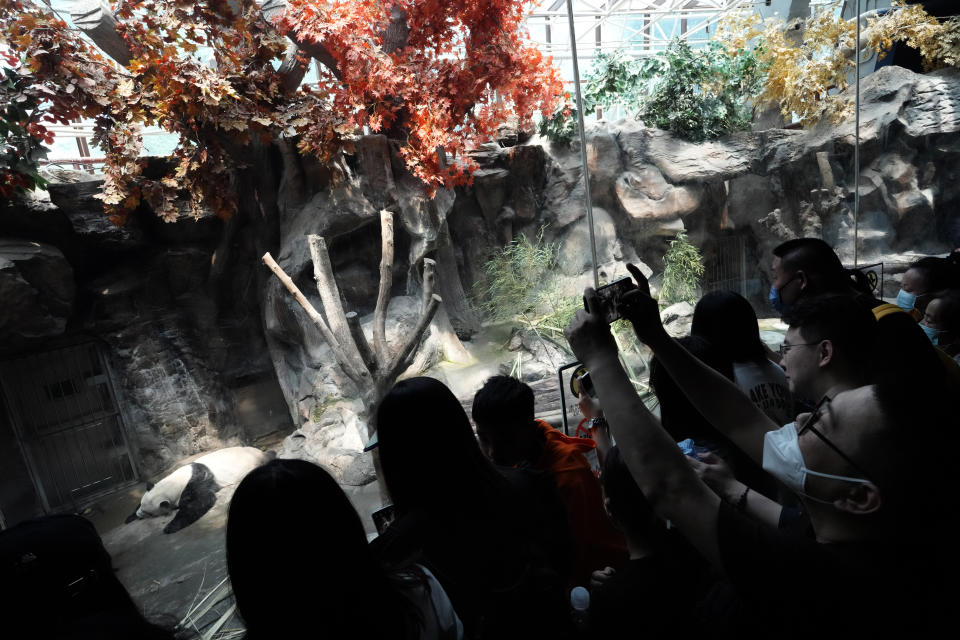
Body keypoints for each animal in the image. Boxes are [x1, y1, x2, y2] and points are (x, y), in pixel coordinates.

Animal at [124, 444, 274, 536]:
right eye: (142, 506)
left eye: (148, 513)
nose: (139, 514)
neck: (175, 481)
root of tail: (261, 452)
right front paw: (129, 517)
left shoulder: (199, 480)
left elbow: (199, 501)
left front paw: (169, 527)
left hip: (258, 460)